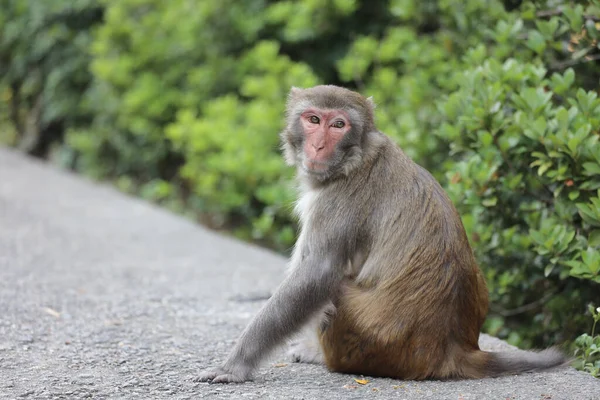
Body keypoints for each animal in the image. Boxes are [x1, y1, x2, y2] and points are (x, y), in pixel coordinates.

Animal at [199, 85, 568, 384]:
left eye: (338, 125)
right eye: (313, 119)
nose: (318, 147)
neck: (355, 159)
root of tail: (452, 350)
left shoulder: (338, 201)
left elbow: (316, 274)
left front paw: (235, 365)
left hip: (368, 343)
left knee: (334, 288)